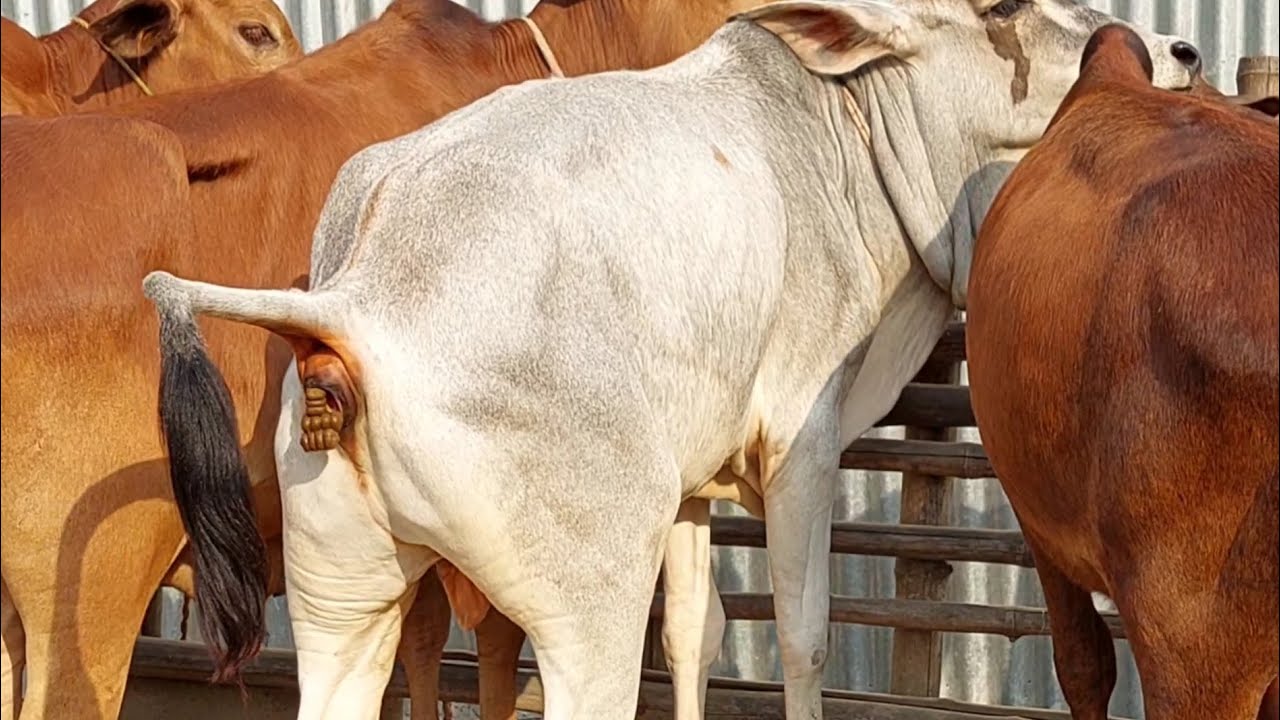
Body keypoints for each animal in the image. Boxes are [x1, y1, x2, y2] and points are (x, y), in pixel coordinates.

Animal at [137, 1, 1201, 718]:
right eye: (1000, 9)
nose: (1180, 51)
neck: (835, 132)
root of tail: (359, 297)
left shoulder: (697, 484)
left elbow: (694, 636)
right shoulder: (803, 448)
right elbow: (803, 639)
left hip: (342, 608)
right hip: (587, 614)